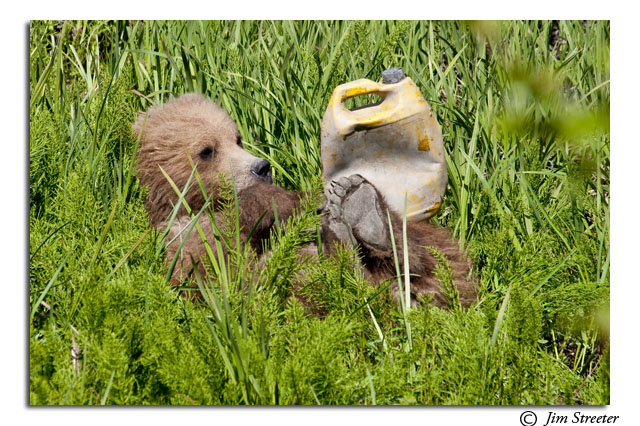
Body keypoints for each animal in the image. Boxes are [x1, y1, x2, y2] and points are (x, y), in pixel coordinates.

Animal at [133, 93, 477, 308]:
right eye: (207, 150)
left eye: (237, 138)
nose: (261, 167)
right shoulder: (179, 238)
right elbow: (219, 267)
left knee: (425, 249)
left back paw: (366, 214)